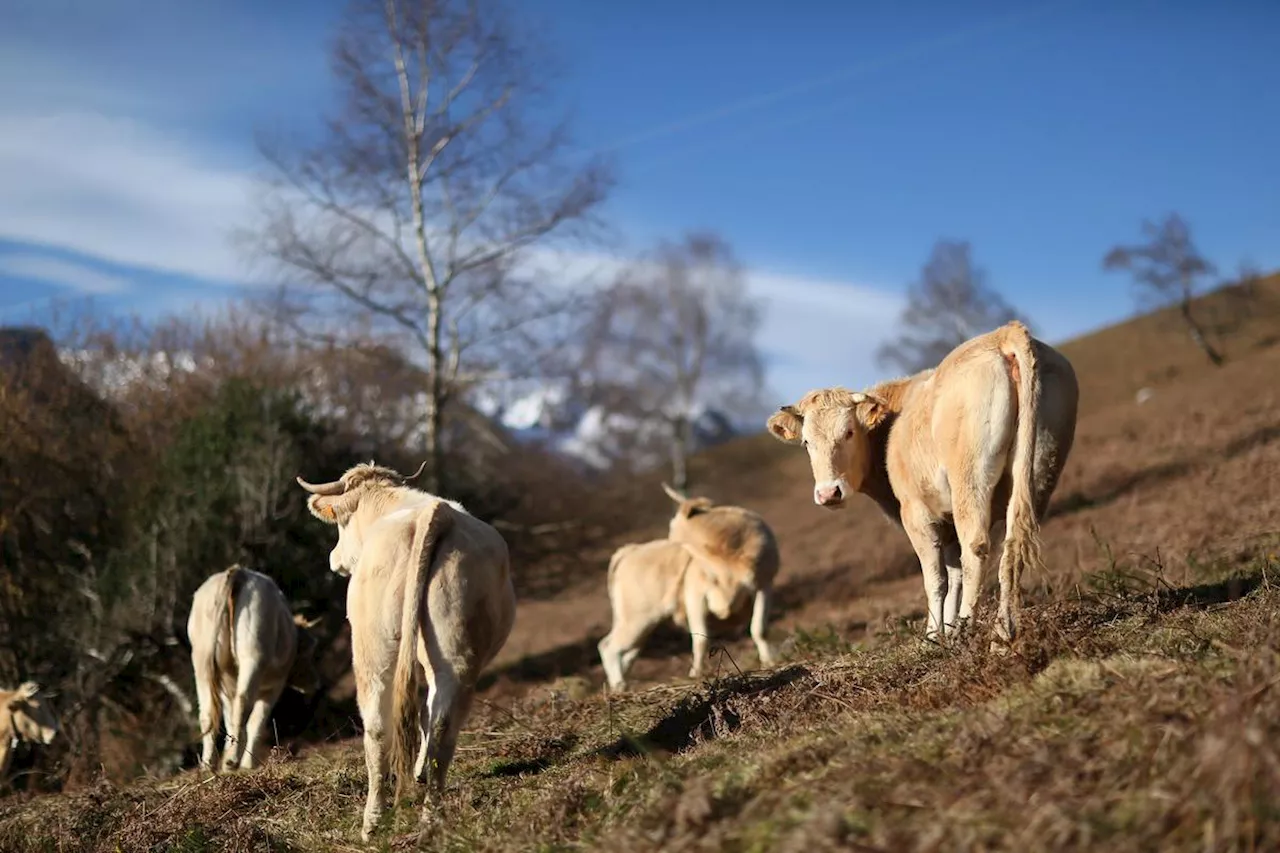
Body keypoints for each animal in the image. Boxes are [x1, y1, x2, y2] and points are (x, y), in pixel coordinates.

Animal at [762, 318, 1075, 637]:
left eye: (848, 432)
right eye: (806, 442)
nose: (828, 493)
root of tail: (1002, 333)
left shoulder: (916, 513)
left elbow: (936, 579)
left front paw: (934, 636)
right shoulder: (946, 522)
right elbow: (953, 575)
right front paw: (945, 631)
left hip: (969, 480)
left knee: (976, 548)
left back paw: (967, 632)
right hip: (1040, 470)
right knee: (1012, 549)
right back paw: (1001, 636)